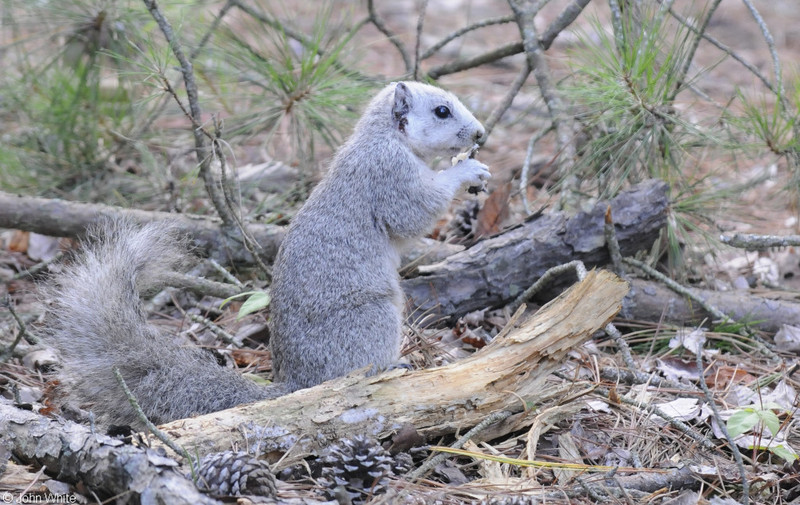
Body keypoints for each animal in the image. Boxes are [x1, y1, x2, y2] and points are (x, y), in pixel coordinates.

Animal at [48, 81, 494, 426]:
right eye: (441, 111)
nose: (480, 134)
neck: (387, 137)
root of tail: (297, 384)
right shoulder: (388, 173)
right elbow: (413, 213)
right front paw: (465, 171)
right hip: (372, 317)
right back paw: (388, 367)